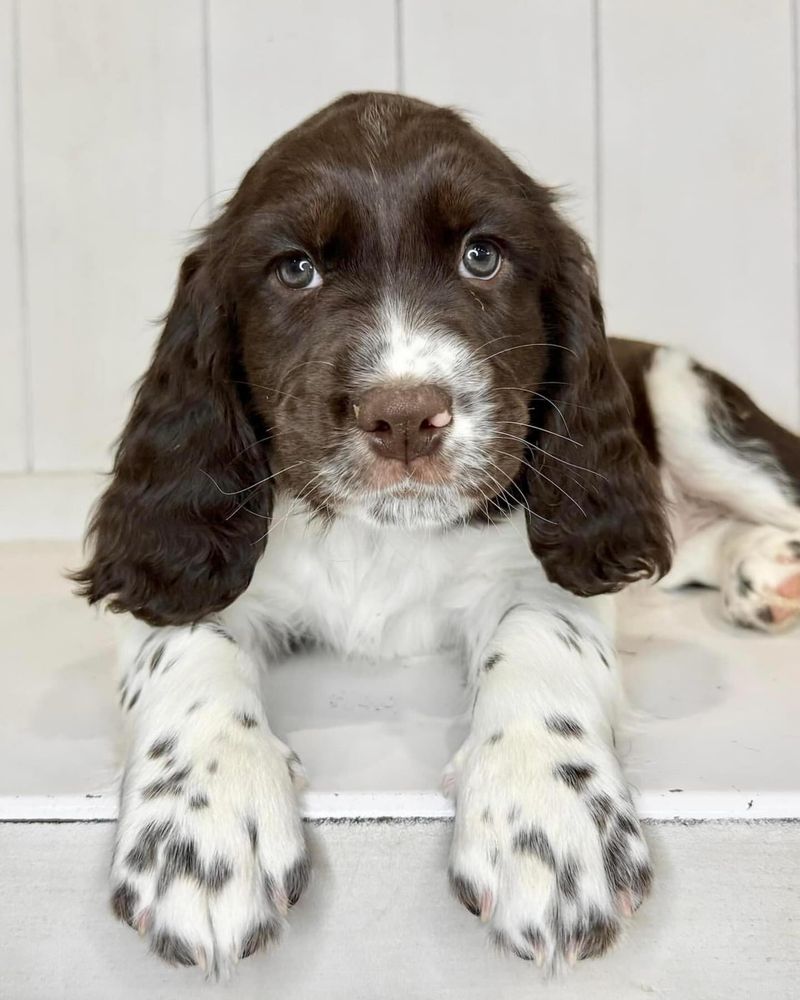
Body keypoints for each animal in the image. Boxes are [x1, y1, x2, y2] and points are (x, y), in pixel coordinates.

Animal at [73, 92, 800, 976]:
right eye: (295, 269)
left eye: (481, 257)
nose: (405, 416)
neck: (379, 541)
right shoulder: (191, 562)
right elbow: (186, 642)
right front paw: (201, 828)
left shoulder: (544, 565)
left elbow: (540, 635)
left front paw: (546, 818)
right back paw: (762, 574)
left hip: (690, 403)